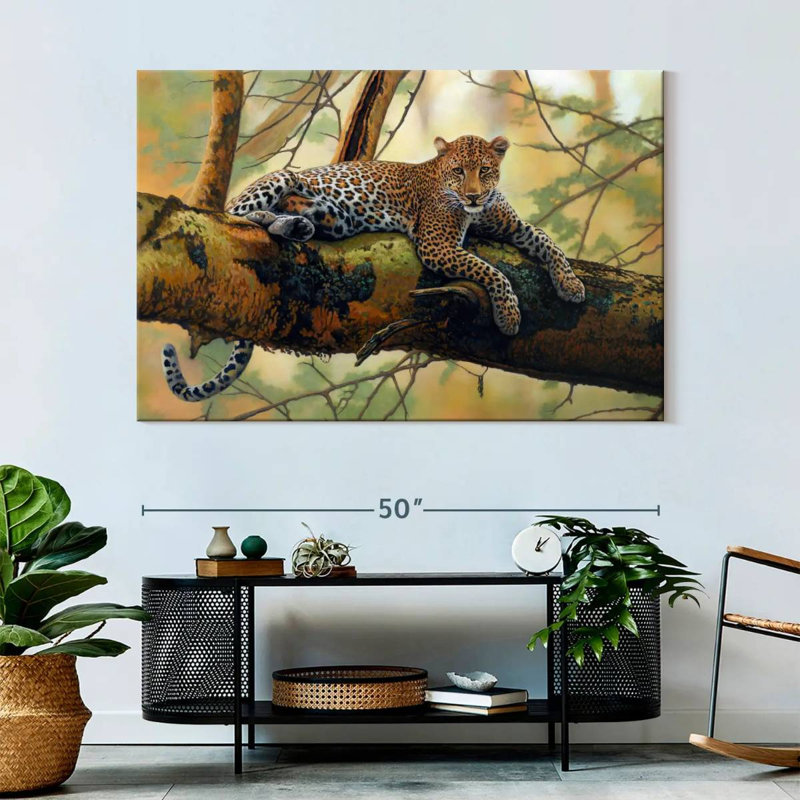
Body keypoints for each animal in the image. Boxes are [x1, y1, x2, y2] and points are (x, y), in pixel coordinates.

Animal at [162, 134, 586, 402]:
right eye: (458, 171)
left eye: (484, 170)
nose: (472, 196)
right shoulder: (438, 245)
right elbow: (491, 270)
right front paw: (509, 314)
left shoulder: (510, 226)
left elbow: (545, 240)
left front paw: (572, 285)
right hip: (280, 178)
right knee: (237, 217)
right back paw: (278, 221)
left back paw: (297, 225)